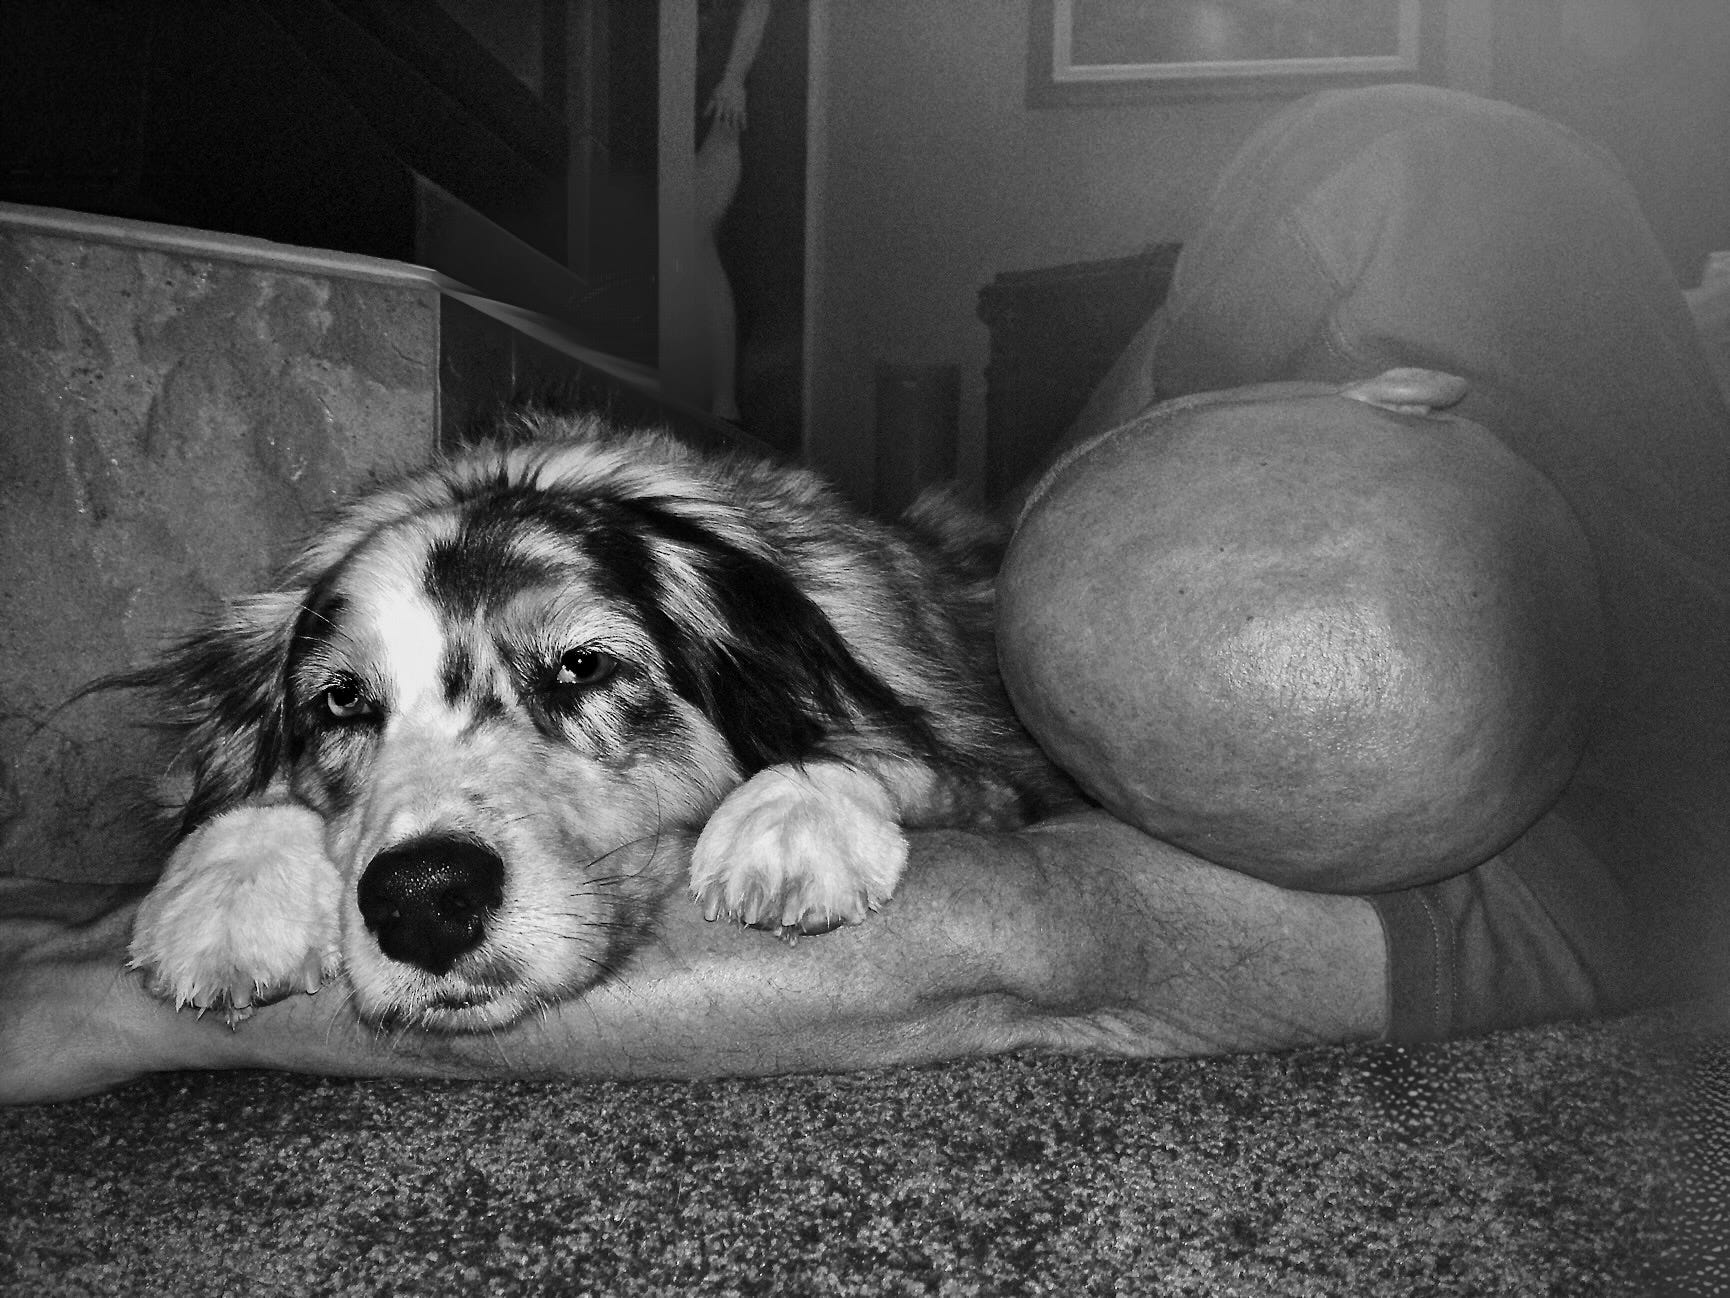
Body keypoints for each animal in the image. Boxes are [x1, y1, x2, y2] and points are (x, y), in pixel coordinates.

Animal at [116, 412, 1074, 1031]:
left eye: (584, 665)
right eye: (341, 700)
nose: (422, 899)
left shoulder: (1003, 768)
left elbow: (901, 750)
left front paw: (795, 812)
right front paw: (230, 890)